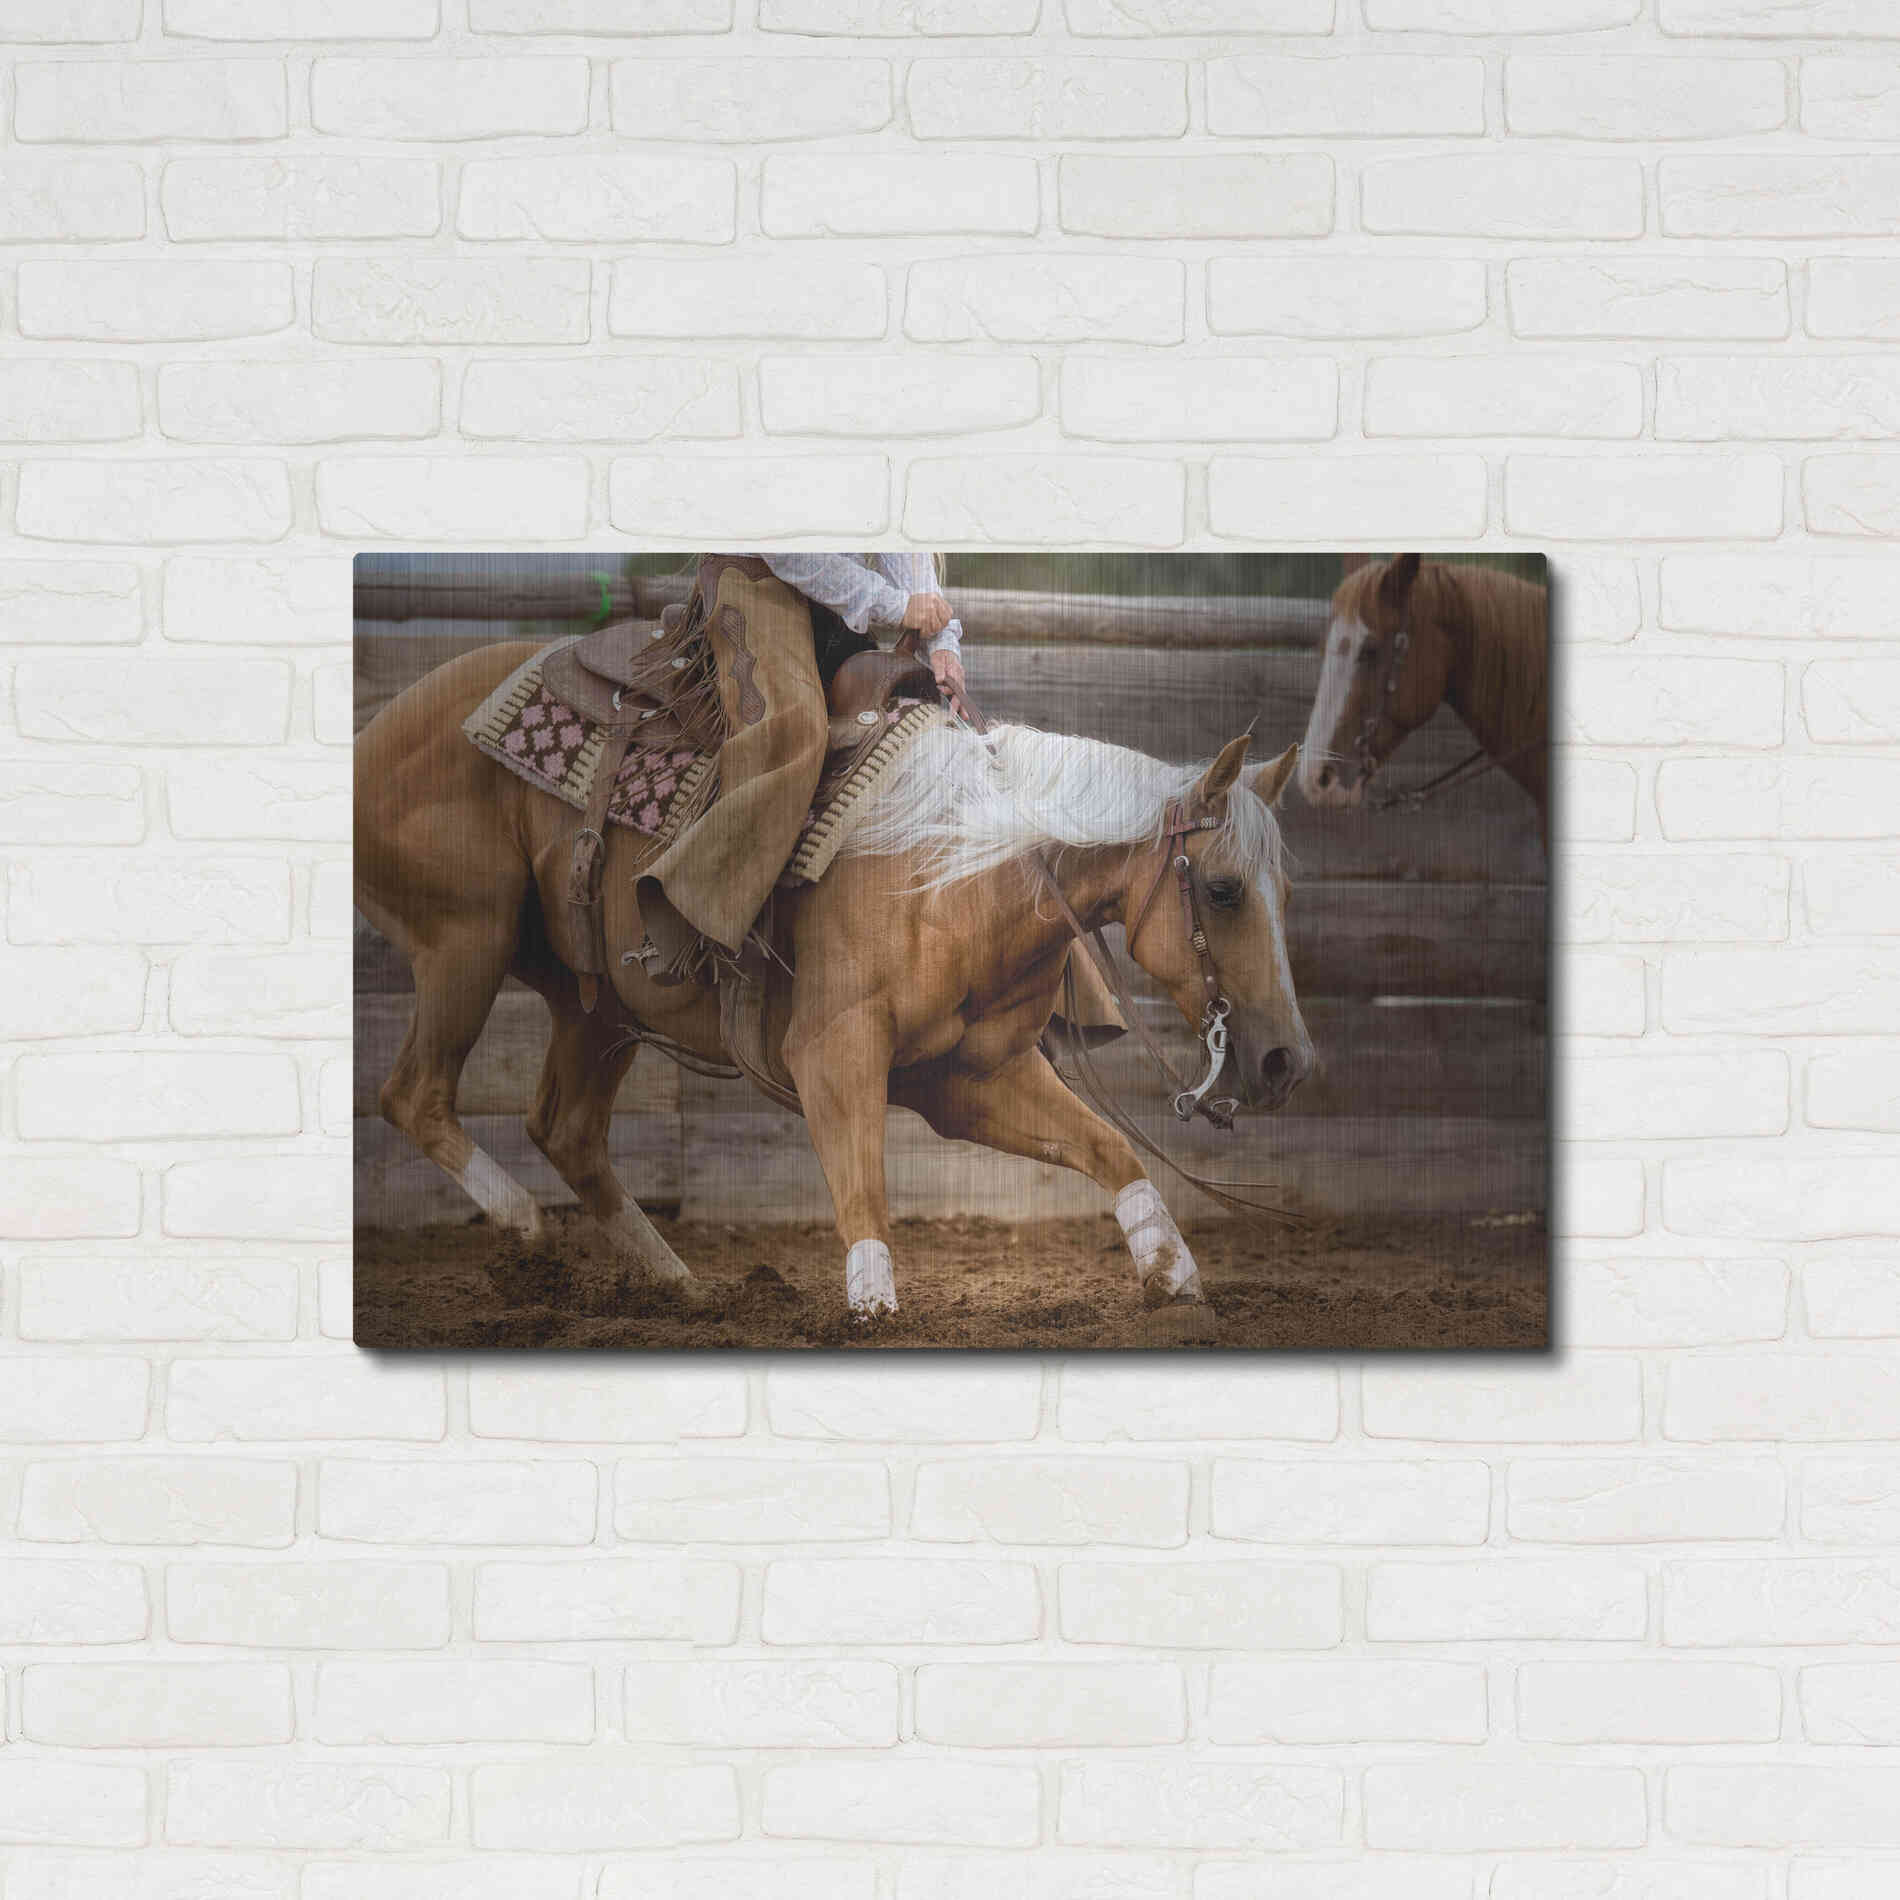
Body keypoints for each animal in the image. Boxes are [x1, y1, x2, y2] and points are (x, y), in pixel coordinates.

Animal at [353, 637, 1315, 1330]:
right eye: (1222, 889)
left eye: (1285, 889)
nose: (1286, 1063)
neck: (955, 872)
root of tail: (382, 726)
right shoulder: (833, 1051)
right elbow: (863, 1184)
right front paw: (872, 1304)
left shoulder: (969, 1080)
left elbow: (1112, 1149)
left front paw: (1174, 1274)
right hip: (464, 940)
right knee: (415, 1094)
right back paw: (523, 1224)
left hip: (598, 1008)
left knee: (567, 1131)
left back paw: (677, 1285)